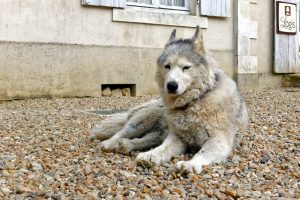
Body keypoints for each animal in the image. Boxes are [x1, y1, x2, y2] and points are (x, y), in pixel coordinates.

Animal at [91, 26, 248, 173]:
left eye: (186, 67)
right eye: (167, 66)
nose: (171, 85)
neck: (195, 101)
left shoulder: (218, 141)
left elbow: (201, 154)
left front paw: (190, 164)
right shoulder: (176, 137)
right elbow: (163, 148)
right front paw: (152, 155)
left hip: (158, 132)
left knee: (146, 139)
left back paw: (127, 146)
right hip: (142, 122)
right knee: (123, 132)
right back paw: (110, 143)